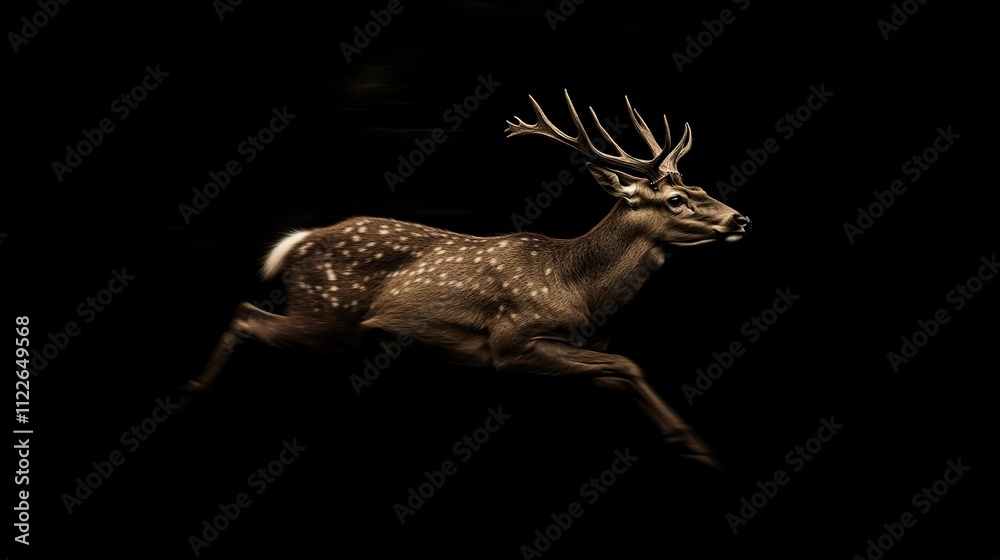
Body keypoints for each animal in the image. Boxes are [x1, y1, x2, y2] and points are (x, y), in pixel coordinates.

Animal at [181, 90, 751, 469]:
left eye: (701, 186)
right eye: (675, 199)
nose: (740, 219)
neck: (580, 293)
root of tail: (297, 242)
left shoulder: (574, 352)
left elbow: (618, 372)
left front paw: (687, 444)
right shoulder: (510, 343)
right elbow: (629, 363)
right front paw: (697, 447)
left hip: (337, 331)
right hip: (323, 316)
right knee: (246, 314)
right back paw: (196, 392)